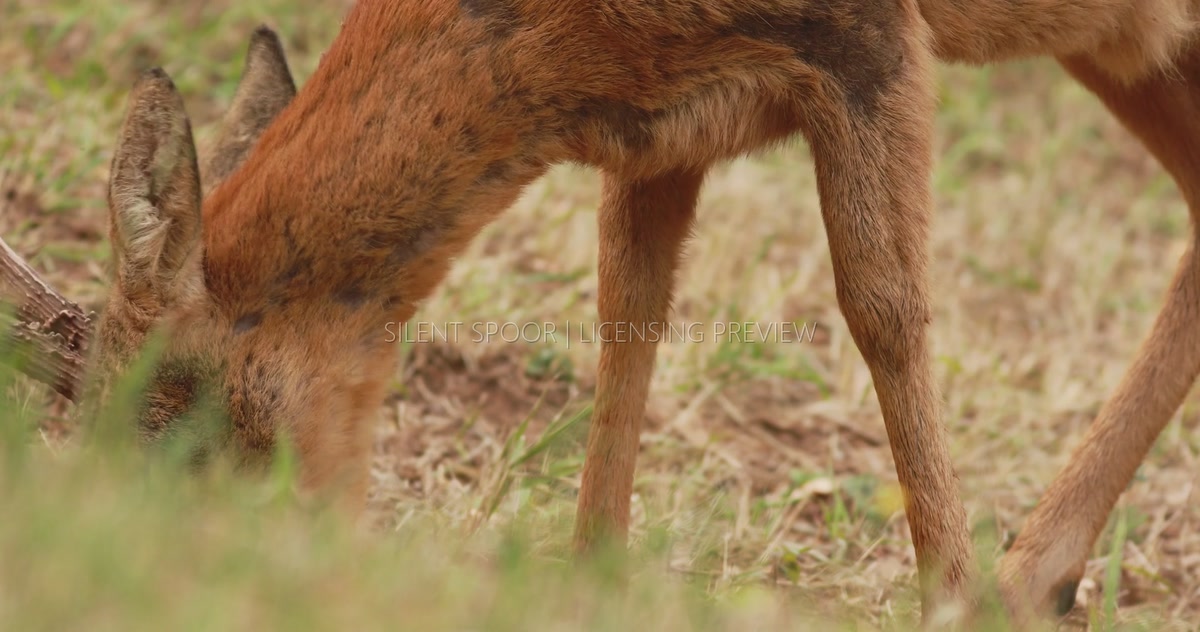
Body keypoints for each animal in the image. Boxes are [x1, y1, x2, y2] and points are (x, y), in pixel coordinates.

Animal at [4, 0, 1200, 626]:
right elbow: (629, 308)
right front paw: (593, 573)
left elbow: (884, 306)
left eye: (172, 422)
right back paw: (1040, 571)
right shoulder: (663, 124)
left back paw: (1022, 571)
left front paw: (951, 595)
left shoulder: (865, 39)